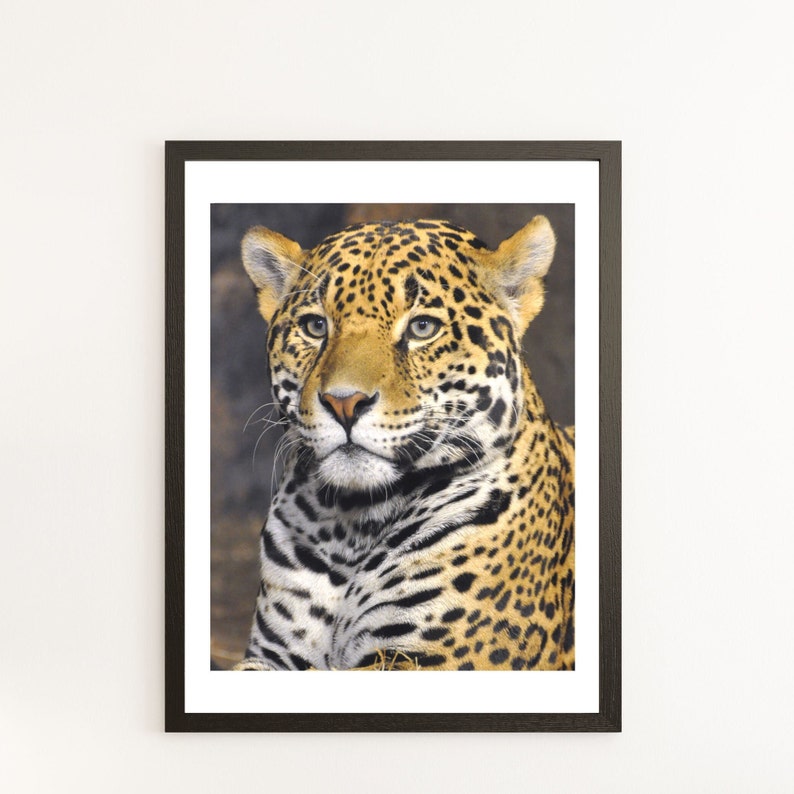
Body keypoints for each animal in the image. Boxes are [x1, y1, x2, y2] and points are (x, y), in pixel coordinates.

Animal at [233, 216, 574, 671]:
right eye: (316, 327)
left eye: (422, 327)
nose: (344, 402)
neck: (350, 526)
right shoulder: (273, 656)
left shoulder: (429, 659)